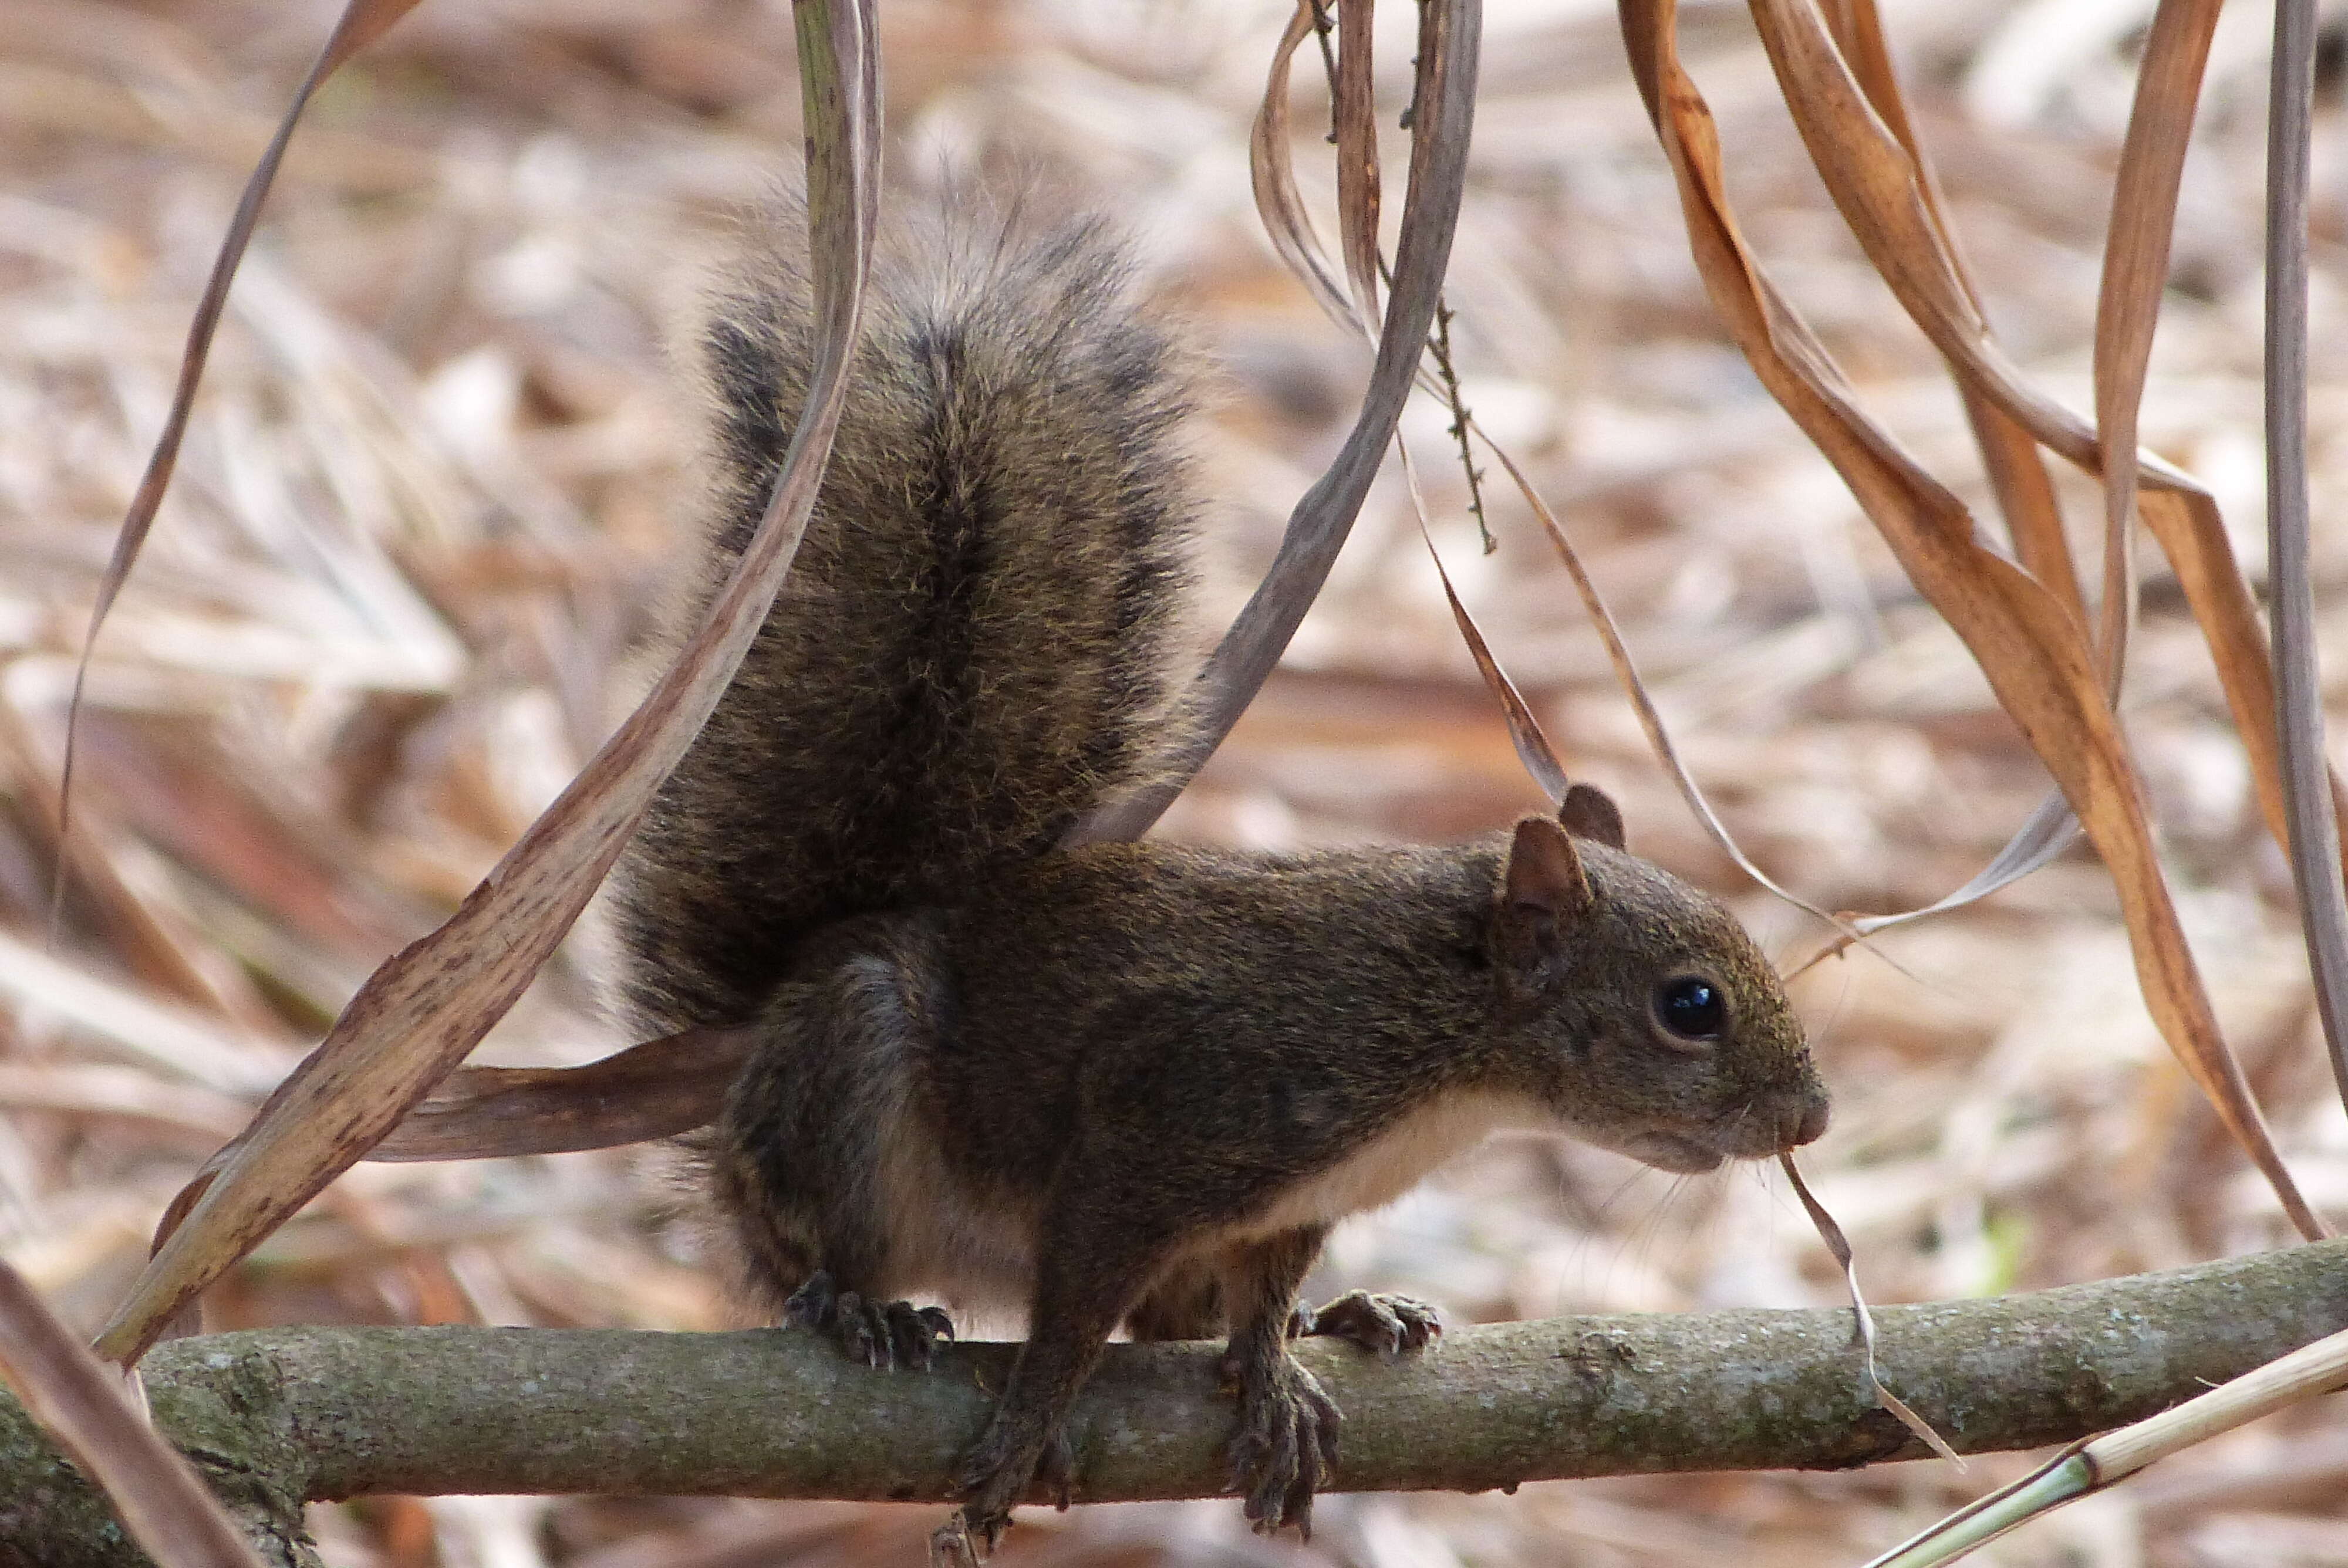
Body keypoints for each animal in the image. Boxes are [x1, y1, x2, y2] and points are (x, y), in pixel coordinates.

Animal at [610, 190, 1831, 1559]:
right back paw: (854, 1306)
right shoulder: (1162, 1126)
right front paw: (1032, 1417)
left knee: (1172, 1320)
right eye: (1690, 1007)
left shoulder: (1283, 1206)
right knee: (805, 1249)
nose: (1810, 1119)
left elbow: (1248, 1302)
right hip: (848, 1078)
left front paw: (1278, 1364)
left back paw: (1344, 1317)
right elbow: (1075, 1306)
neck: (1441, 1051)